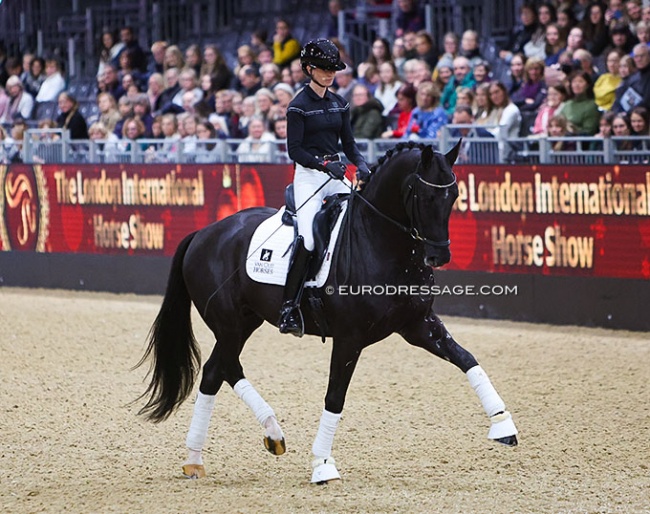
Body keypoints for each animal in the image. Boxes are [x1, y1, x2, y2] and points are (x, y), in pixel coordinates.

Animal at [137, 140, 516, 480]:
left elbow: (467, 359)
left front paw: (503, 425)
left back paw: (259, 439)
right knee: (217, 372)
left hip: (244, 322)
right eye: (424, 197)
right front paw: (322, 465)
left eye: (454, 196)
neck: (381, 242)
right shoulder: (350, 338)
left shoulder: (418, 324)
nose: (439, 255)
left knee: (222, 370)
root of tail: (204, 233)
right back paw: (204, 454)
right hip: (230, 325)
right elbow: (335, 397)